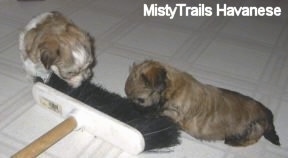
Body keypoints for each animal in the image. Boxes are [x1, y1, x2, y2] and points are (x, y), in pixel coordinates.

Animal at [125, 59, 280, 146]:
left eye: (140, 100)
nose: (131, 107)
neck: (172, 89)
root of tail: (267, 114)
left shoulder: (175, 114)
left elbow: (158, 113)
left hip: (256, 127)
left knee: (253, 139)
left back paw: (234, 140)